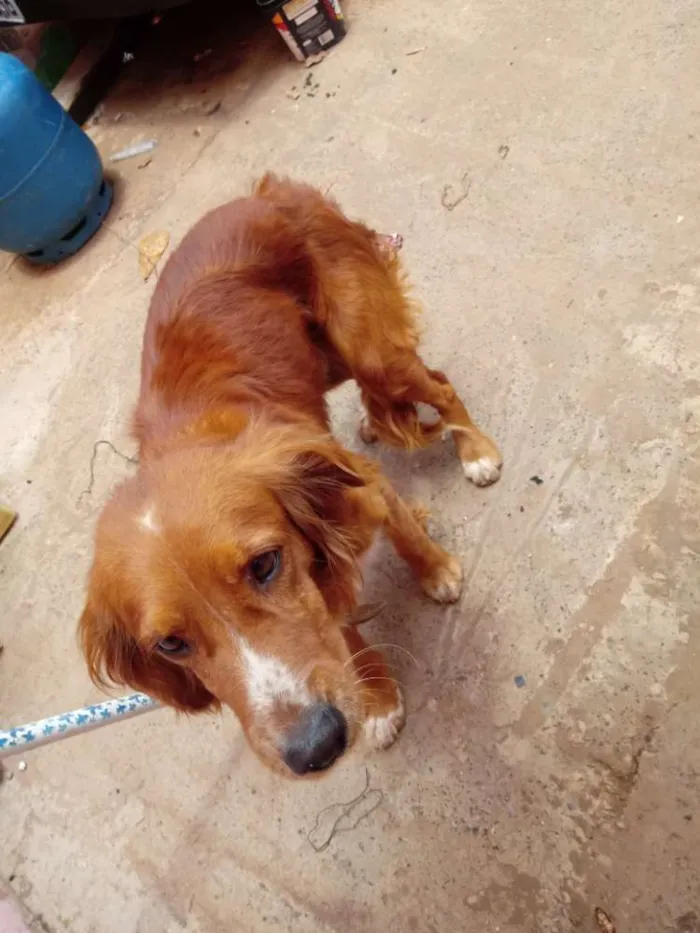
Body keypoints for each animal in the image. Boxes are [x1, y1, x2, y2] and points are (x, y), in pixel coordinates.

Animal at [79, 173, 500, 772]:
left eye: (264, 565)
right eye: (170, 644)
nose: (315, 747)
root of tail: (268, 191)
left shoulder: (360, 488)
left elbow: (401, 536)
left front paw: (437, 570)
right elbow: (335, 624)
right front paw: (378, 698)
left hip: (372, 354)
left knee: (437, 384)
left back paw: (476, 450)